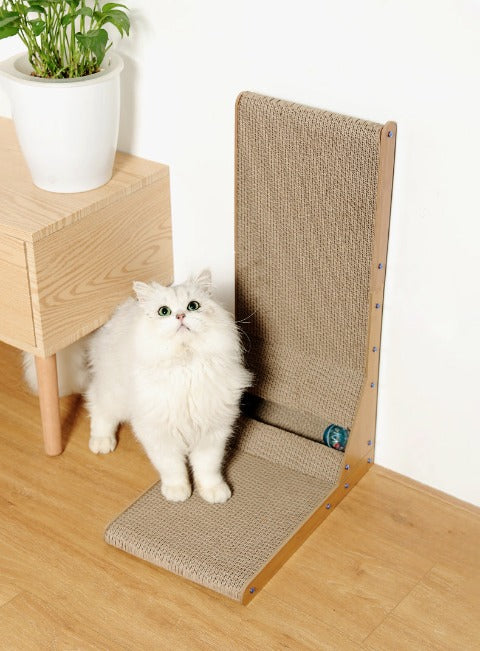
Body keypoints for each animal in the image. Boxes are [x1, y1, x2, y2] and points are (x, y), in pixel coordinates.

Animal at [23, 270, 251, 504]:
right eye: (164, 311)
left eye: (193, 306)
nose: (180, 316)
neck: (185, 365)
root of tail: (104, 328)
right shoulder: (157, 432)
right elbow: (172, 467)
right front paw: (178, 492)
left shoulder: (213, 430)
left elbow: (208, 468)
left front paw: (215, 492)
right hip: (113, 394)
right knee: (97, 405)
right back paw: (102, 442)